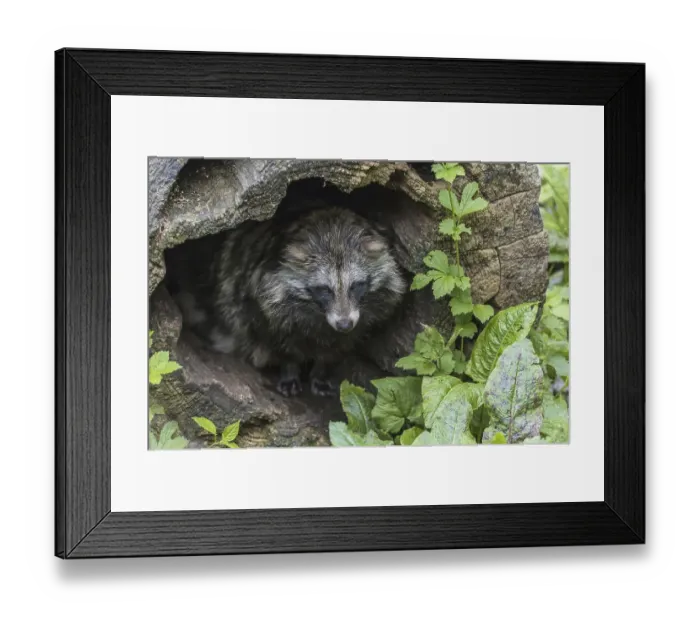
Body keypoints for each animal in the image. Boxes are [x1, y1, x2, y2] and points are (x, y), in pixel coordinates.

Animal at [176, 207, 406, 397]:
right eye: (325, 289)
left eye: (356, 286)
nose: (344, 324)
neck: (333, 232)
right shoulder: (263, 301)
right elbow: (278, 340)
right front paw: (289, 369)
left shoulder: (360, 318)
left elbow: (337, 346)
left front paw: (321, 370)